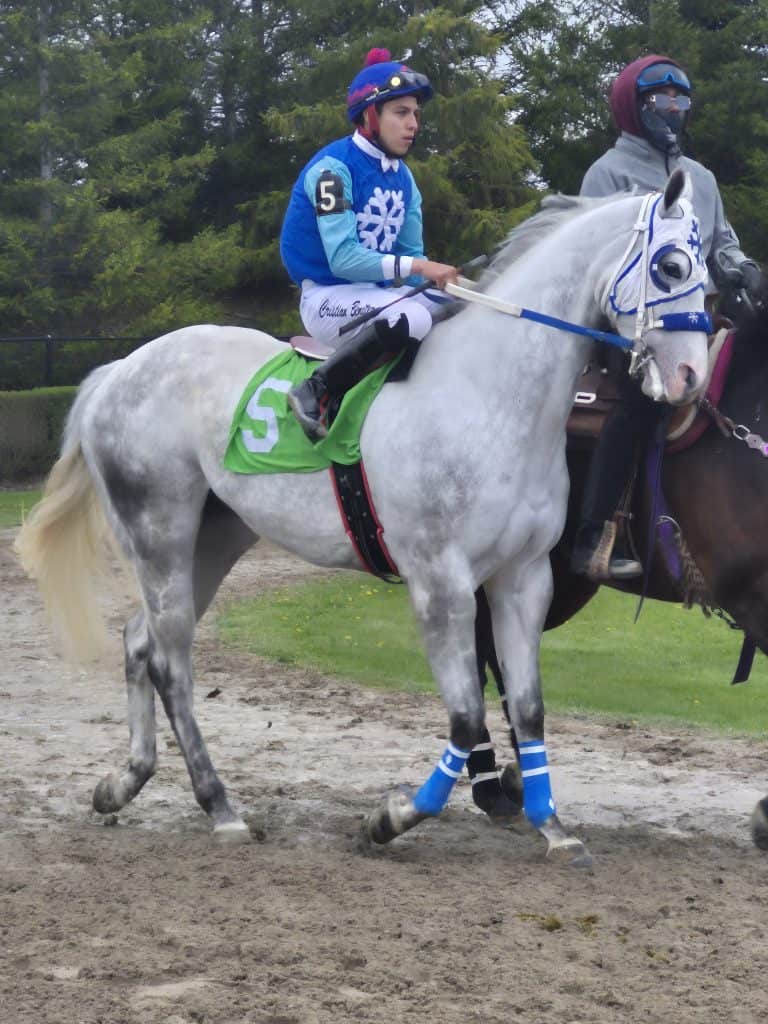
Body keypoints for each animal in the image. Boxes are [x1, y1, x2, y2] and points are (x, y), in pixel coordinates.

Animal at [15, 169, 710, 866]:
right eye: (672, 265)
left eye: (707, 268)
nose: (690, 377)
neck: (488, 398)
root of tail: (118, 369)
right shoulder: (441, 584)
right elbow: (466, 718)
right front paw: (391, 817)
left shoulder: (524, 578)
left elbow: (529, 708)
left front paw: (553, 826)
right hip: (159, 532)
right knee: (170, 661)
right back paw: (220, 806)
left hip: (213, 540)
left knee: (140, 641)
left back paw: (125, 781)